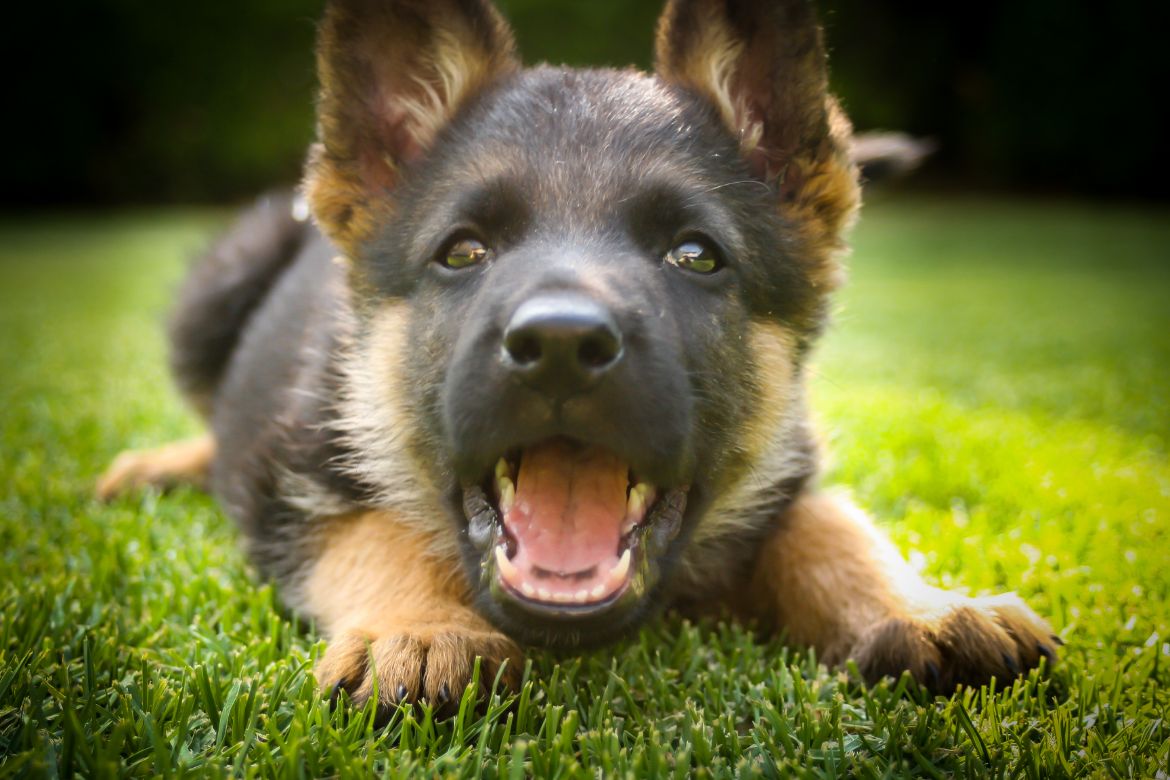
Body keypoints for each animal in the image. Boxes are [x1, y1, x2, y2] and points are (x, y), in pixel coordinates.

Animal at [95, 0, 1057, 706]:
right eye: (463, 252)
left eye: (696, 255)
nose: (560, 344)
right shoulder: (288, 477)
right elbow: (373, 530)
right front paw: (421, 628)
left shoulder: (790, 460)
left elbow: (830, 525)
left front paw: (927, 608)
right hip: (219, 288)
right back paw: (154, 466)